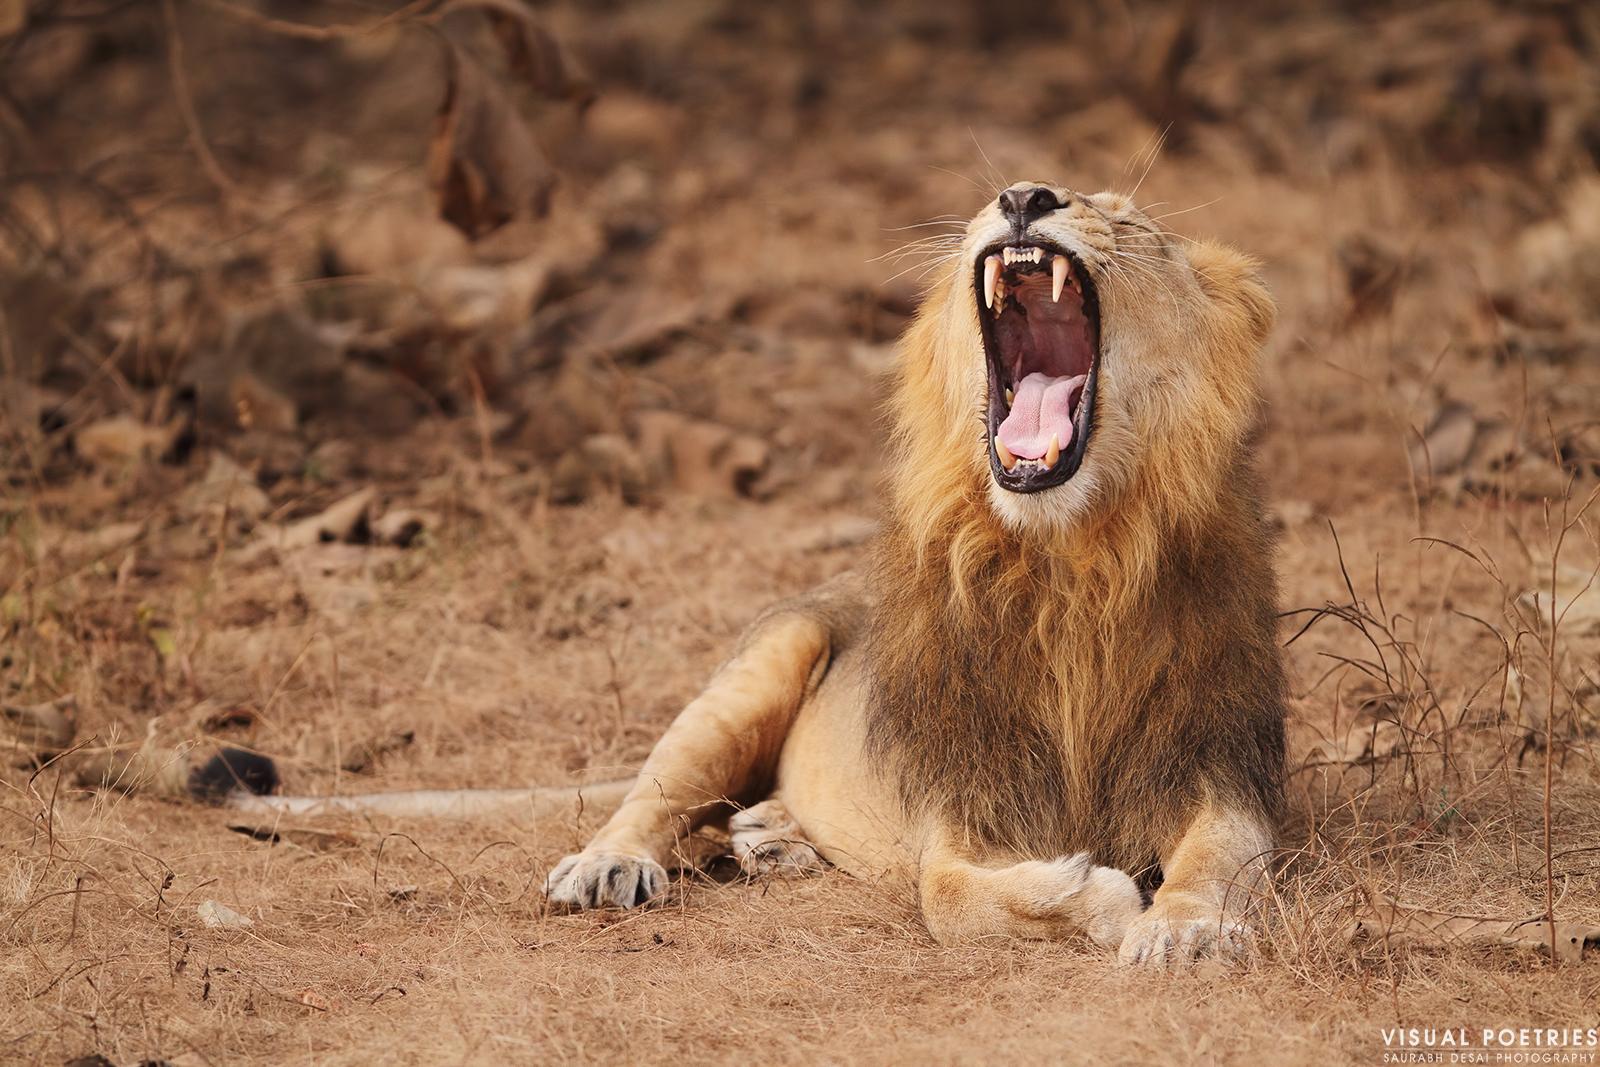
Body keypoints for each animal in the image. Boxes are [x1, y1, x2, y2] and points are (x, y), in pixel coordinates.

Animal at [539, 182, 1286, 966]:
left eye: (1127, 219)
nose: (1025, 196)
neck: (1071, 560)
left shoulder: (1221, 762)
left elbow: (1217, 857)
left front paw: (1184, 929)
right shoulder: (960, 802)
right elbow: (948, 897)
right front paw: (1105, 895)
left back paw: (772, 836)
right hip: (762, 667)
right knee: (656, 792)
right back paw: (609, 864)